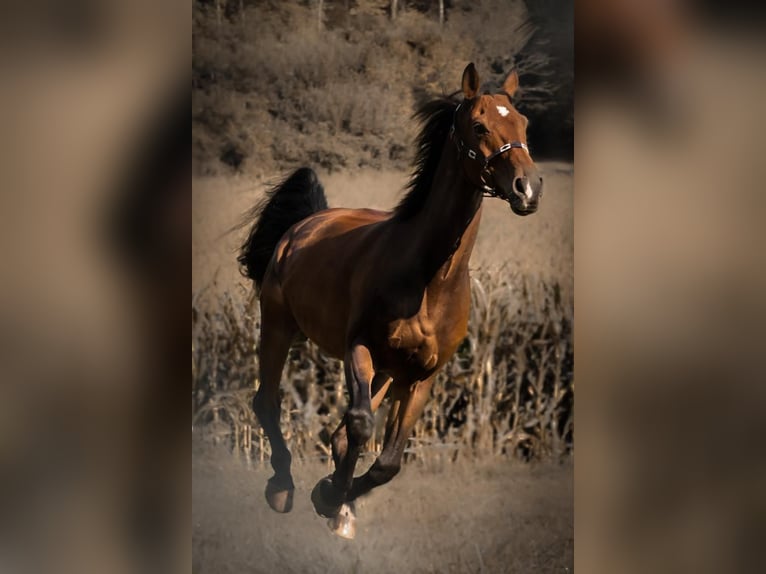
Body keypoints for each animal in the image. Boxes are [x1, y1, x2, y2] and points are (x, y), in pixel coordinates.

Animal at [237, 63, 544, 540]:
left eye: (523, 123)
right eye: (480, 126)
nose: (527, 188)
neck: (430, 279)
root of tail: (304, 223)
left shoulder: (421, 376)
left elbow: (388, 462)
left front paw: (335, 498)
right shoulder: (358, 348)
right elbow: (362, 424)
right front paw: (328, 495)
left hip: (385, 370)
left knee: (338, 434)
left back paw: (338, 507)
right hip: (278, 326)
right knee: (267, 400)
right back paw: (283, 486)